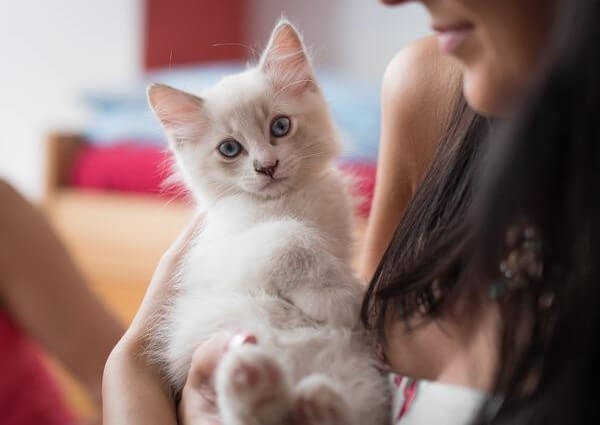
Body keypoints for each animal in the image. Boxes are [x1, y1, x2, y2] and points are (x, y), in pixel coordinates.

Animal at [148, 20, 392, 425]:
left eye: (280, 126)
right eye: (230, 149)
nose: (267, 166)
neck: (285, 201)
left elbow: (317, 249)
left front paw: (343, 292)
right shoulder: (220, 254)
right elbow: (290, 236)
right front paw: (339, 300)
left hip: (360, 385)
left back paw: (312, 402)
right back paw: (254, 380)